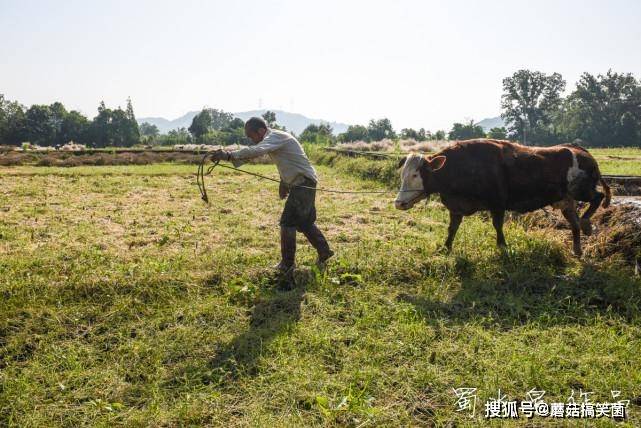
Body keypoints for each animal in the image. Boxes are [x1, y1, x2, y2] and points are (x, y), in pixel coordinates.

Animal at [396, 139, 608, 256]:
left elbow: (497, 225)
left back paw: (587, 223)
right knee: (574, 223)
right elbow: (452, 228)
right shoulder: (456, 207)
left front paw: (503, 246)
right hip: (566, 200)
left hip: (582, 190)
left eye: (415, 175)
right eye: (403, 174)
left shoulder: (497, 203)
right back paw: (577, 248)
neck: (463, 166)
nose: (398, 202)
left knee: (598, 197)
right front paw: (446, 248)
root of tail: (580, 150)